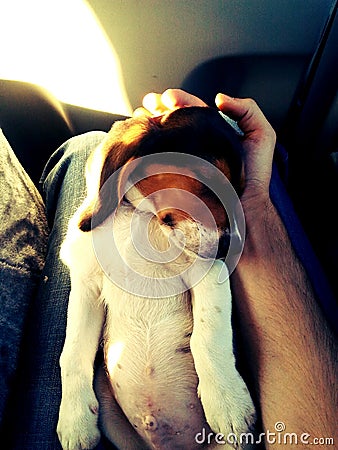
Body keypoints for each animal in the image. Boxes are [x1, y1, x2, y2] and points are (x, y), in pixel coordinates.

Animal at [56, 107, 255, 448]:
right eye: (206, 183)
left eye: (239, 193)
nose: (230, 249)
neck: (147, 220)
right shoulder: (86, 284)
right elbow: (72, 353)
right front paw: (75, 419)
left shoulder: (207, 272)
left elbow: (209, 336)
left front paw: (228, 400)